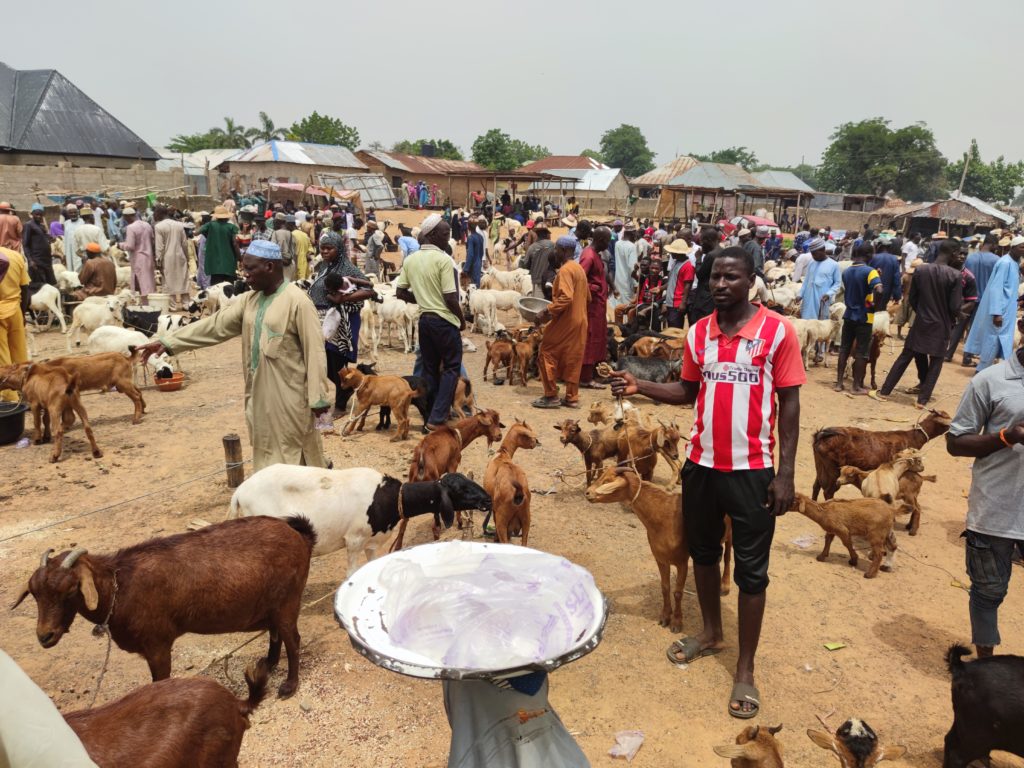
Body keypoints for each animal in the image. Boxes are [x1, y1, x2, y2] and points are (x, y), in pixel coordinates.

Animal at [11, 518, 315, 696]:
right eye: (35, 593)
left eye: (72, 589)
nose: (45, 635)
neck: (120, 585)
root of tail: (299, 534)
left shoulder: (157, 644)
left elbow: (160, 680)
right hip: (272, 605)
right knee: (276, 633)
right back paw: (269, 663)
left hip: (288, 601)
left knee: (293, 638)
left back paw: (289, 685)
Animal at [230, 466, 489, 573]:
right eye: (462, 489)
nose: (488, 498)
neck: (388, 498)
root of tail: (240, 492)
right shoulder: (353, 540)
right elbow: (351, 572)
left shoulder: (371, 542)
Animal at [585, 466, 737, 634]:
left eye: (607, 480)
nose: (588, 493)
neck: (664, 517)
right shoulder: (660, 559)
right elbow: (665, 587)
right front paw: (665, 616)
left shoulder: (682, 562)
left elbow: (678, 592)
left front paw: (677, 622)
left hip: (730, 531)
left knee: (727, 556)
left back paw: (724, 586)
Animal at [815, 411, 950, 501]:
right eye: (945, 423)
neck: (913, 437)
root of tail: (821, 435)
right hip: (832, 472)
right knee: (828, 492)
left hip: (821, 467)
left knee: (816, 486)